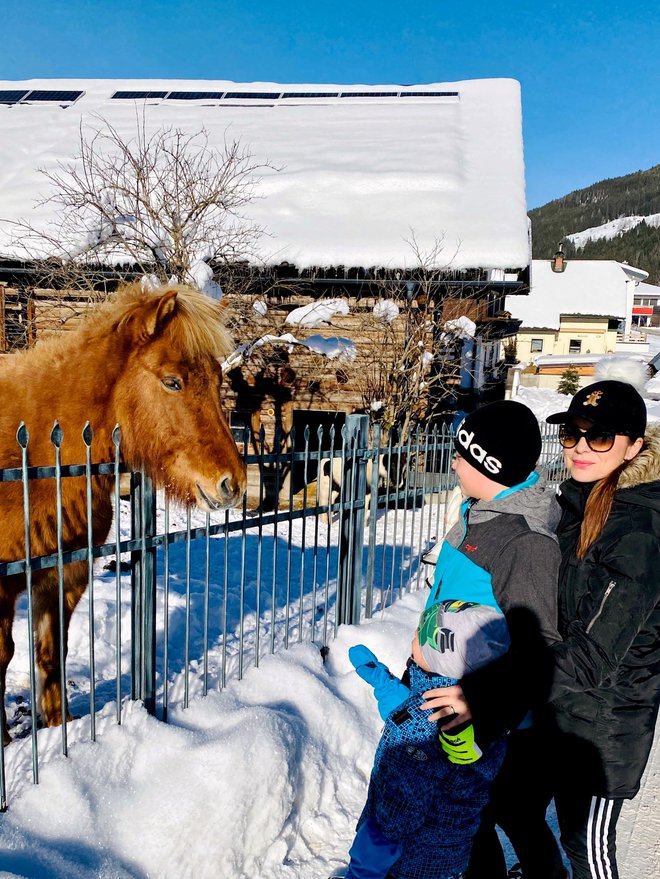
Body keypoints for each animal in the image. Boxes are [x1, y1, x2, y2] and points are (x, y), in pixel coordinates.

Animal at [0, 282, 246, 744]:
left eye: (218, 379)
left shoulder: (65, 574)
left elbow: (51, 650)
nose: (233, 484)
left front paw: (62, 727)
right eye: (172, 382)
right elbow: (4, 653)